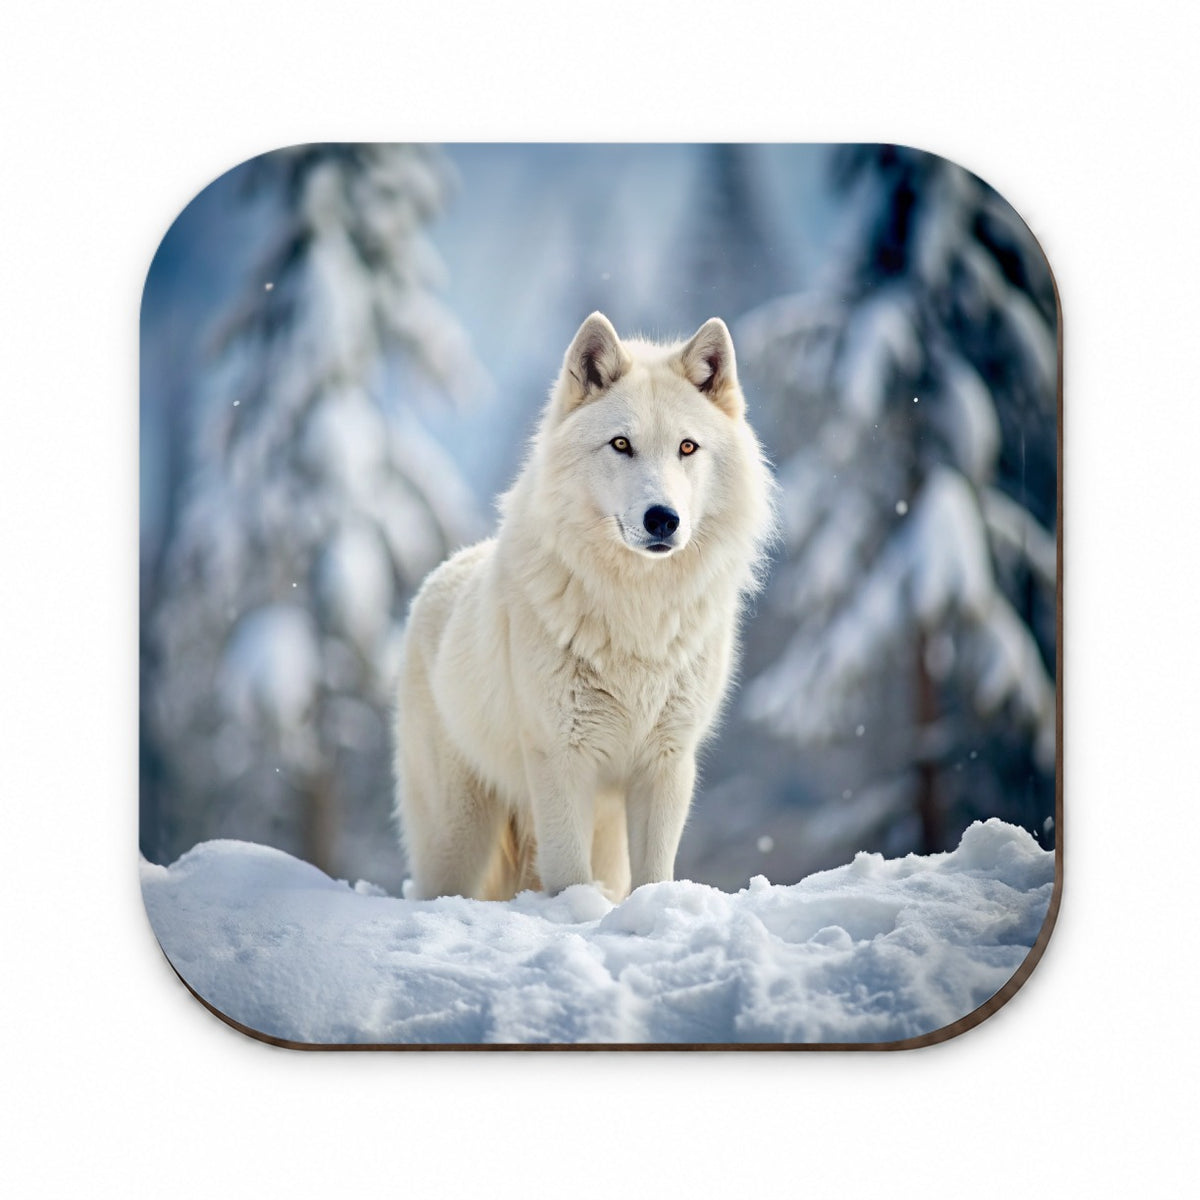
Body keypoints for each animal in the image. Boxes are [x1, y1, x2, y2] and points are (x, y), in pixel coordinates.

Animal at [394, 312, 776, 901]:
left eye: (687, 448)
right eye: (621, 444)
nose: (663, 518)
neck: (638, 613)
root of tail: (438, 578)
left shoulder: (666, 763)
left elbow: (654, 875)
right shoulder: (561, 759)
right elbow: (569, 877)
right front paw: (576, 911)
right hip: (458, 838)